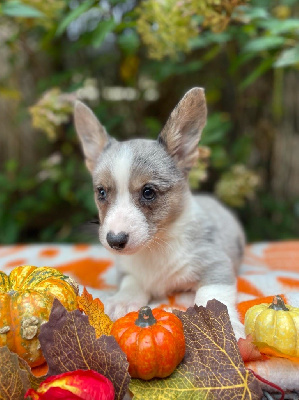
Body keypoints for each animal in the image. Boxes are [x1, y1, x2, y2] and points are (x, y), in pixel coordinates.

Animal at [74, 86, 246, 338]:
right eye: (101, 192)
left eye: (148, 192)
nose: (115, 241)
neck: (155, 247)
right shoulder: (126, 270)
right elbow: (132, 282)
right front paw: (123, 301)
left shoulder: (217, 264)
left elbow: (213, 297)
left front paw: (223, 326)